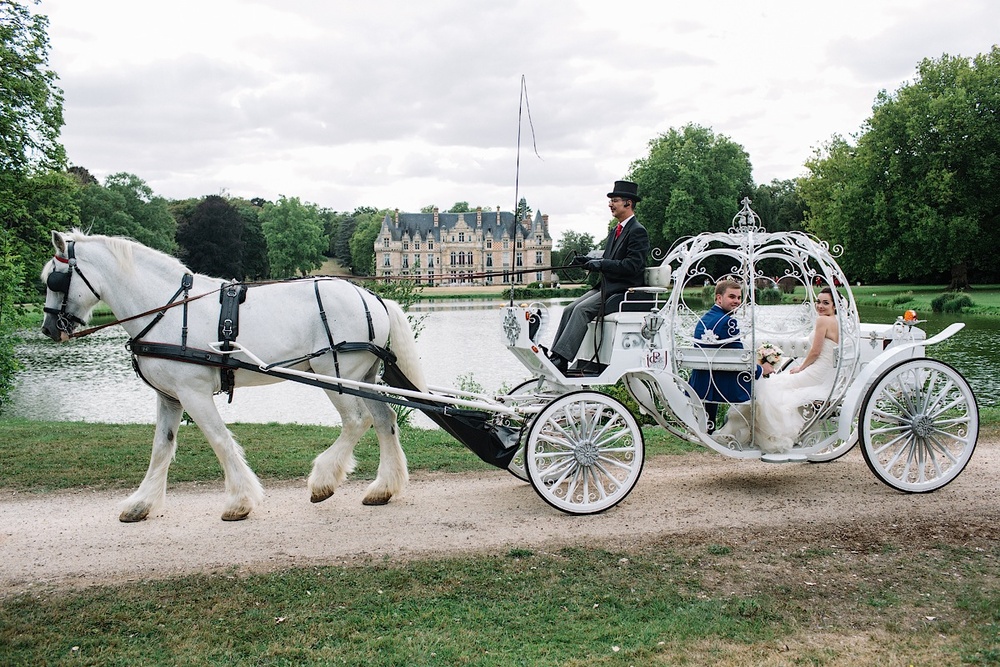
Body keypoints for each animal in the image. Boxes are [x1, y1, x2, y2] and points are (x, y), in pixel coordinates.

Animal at [41, 230, 426, 520]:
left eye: (55, 280)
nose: (48, 329)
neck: (169, 310)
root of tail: (372, 295)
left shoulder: (193, 392)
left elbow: (219, 439)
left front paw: (239, 501)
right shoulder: (169, 396)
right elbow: (161, 447)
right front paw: (141, 503)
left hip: (335, 375)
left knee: (357, 421)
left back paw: (323, 481)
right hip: (364, 377)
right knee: (385, 419)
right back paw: (383, 488)